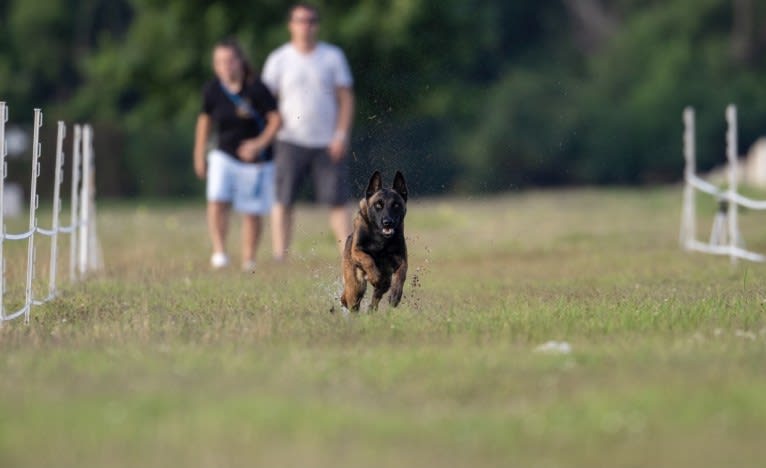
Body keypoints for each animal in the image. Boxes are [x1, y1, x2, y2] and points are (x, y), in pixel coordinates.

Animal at [344, 171, 412, 310]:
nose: (387, 222)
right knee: (352, 304)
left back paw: (371, 309)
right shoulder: (357, 250)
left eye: (396, 205)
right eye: (378, 205)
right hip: (355, 287)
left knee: (376, 298)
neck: (380, 237)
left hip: (385, 281)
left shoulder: (401, 259)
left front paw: (395, 295)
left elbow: (402, 274)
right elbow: (368, 259)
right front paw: (375, 276)